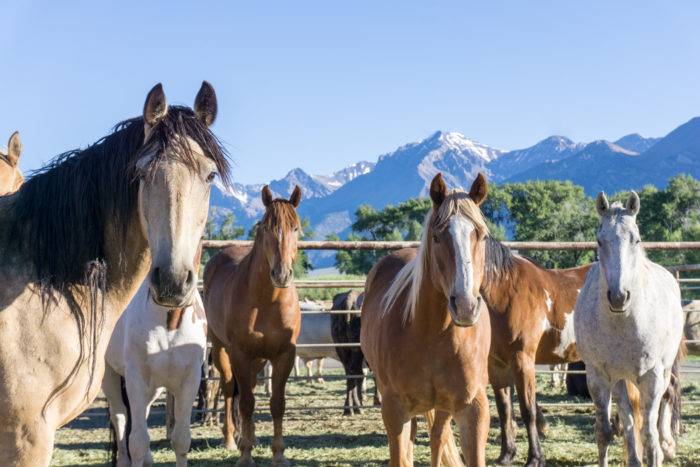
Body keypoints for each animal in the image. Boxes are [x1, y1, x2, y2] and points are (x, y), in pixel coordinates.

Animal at [104, 280, 208, 466]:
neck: (169, 327)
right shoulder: (135, 379)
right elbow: (137, 442)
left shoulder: (190, 381)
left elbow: (181, 439)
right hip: (109, 376)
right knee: (119, 416)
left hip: (153, 388)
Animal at [202, 185, 300, 466]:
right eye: (266, 227)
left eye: (295, 228)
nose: (281, 274)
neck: (267, 300)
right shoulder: (241, 354)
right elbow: (245, 402)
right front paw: (245, 455)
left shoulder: (284, 354)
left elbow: (277, 403)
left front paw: (279, 454)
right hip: (221, 350)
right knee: (228, 388)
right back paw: (231, 438)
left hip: (258, 359)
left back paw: (252, 436)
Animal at [360, 174, 492, 466]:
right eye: (437, 236)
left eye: (482, 235)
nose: (465, 306)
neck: (433, 334)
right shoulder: (395, 410)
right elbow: (400, 456)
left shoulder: (474, 409)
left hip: (442, 407)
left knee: (437, 438)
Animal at [576, 192, 684, 466]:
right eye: (599, 240)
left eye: (636, 239)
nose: (618, 297)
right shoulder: (598, 377)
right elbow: (605, 432)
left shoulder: (652, 377)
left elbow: (649, 436)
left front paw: (658, 452)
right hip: (621, 380)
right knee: (627, 419)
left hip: (663, 372)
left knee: (661, 406)